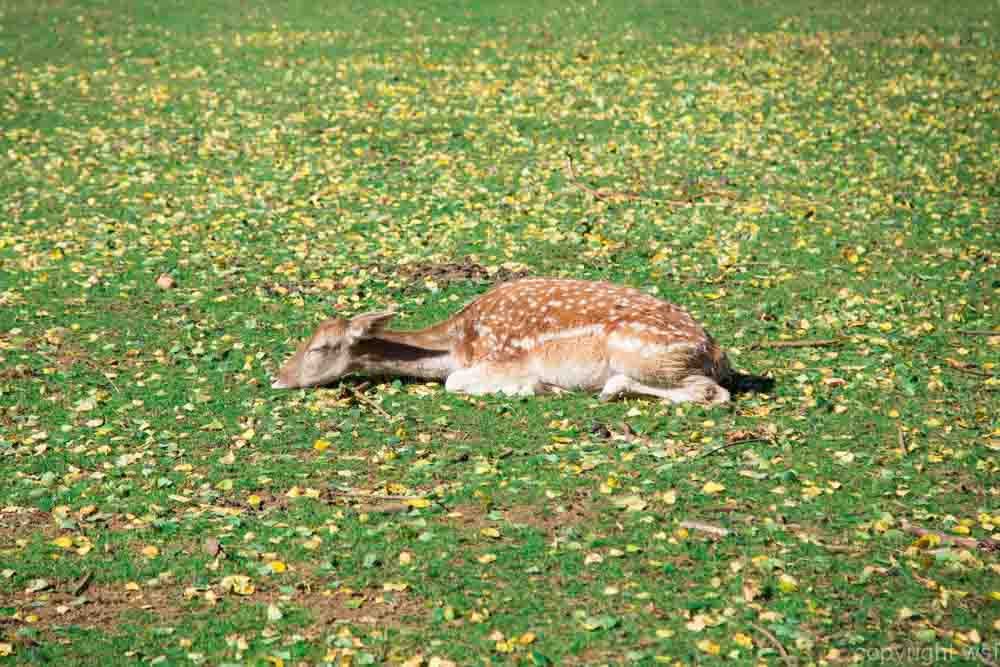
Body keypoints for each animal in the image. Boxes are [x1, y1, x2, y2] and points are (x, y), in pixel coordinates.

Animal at [271, 278, 732, 405]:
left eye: (321, 348)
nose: (276, 377)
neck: (460, 344)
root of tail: (716, 352)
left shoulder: (503, 358)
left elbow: (454, 382)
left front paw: (536, 386)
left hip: (646, 355)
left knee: (713, 394)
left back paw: (609, 388)